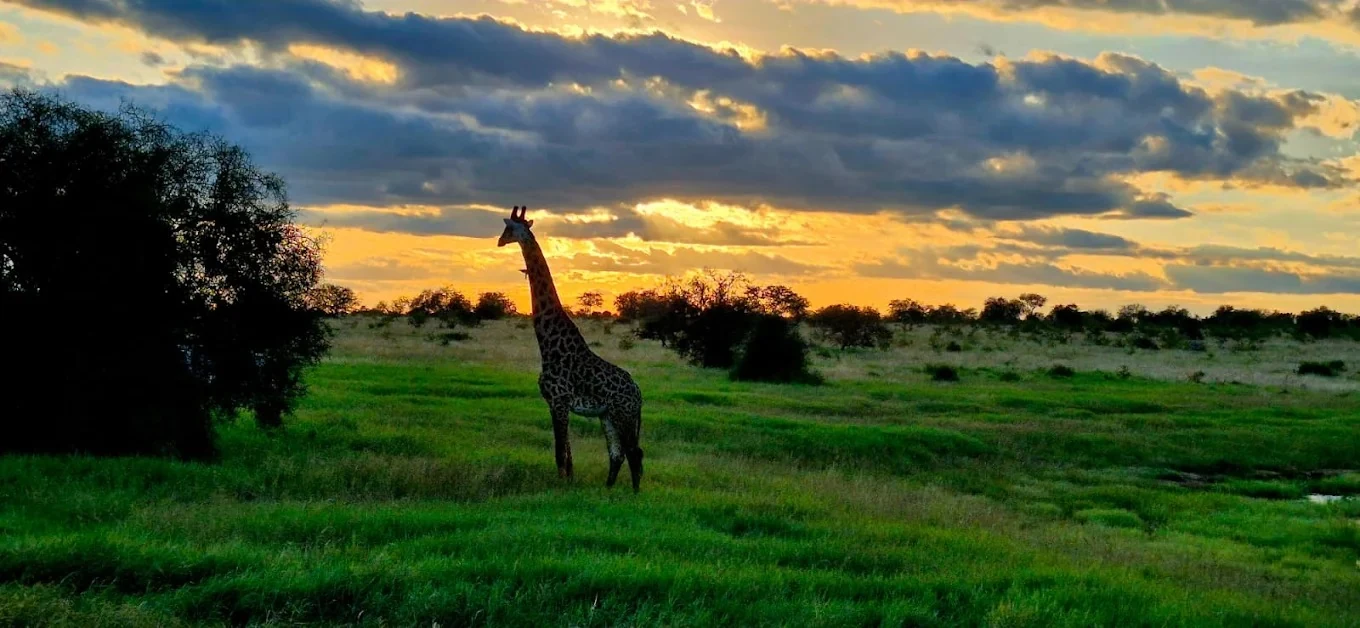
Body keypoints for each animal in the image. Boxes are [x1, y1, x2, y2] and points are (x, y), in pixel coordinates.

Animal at [497, 205, 645, 492]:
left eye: (509, 229)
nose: (499, 241)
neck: (548, 341)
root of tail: (639, 393)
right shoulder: (554, 403)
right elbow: (568, 455)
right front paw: (570, 484)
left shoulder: (559, 400)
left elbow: (559, 453)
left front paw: (560, 488)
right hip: (608, 416)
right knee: (617, 453)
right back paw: (607, 490)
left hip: (623, 414)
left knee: (634, 453)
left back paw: (633, 494)